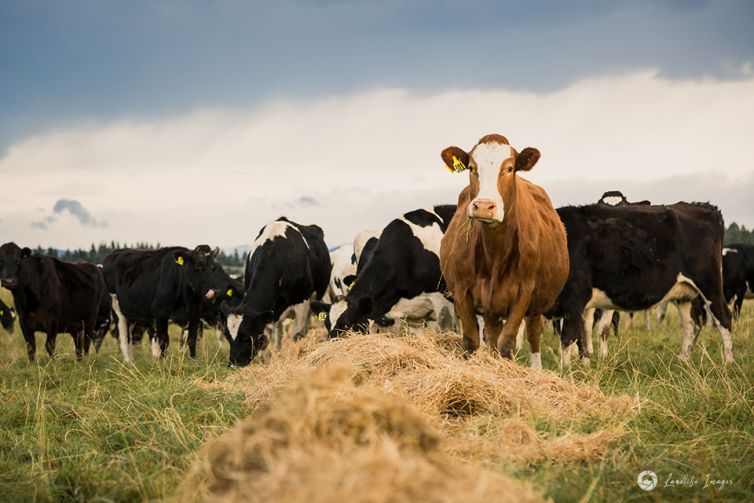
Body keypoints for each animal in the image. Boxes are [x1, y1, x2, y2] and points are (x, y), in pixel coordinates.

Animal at [223, 217, 328, 366]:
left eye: (246, 336)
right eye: (227, 336)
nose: (234, 363)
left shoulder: (302, 303)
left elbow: (297, 336)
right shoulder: (264, 316)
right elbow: (265, 341)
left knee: (304, 328)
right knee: (279, 331)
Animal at [438, 134, 568, 370]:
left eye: (509, 168)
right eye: (471, 167)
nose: (484, 206)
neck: (495, 254)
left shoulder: (524, 291)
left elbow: (507, 342)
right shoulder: (462, 291)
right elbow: (471, 341)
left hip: (536, 306)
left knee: (533, 336)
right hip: (491, 309)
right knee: (491, 337)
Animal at [548, 203, 736, 368]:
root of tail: (707, 209)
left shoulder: (575, 296)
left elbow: (568, 337)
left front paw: (564, 371)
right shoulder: (577, 305)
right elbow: (580, 337)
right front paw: (584, 367)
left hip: (710, 284)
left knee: (724, 318)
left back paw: (728, 363)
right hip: (683, 292)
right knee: (692, 324)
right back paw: (683, 361)